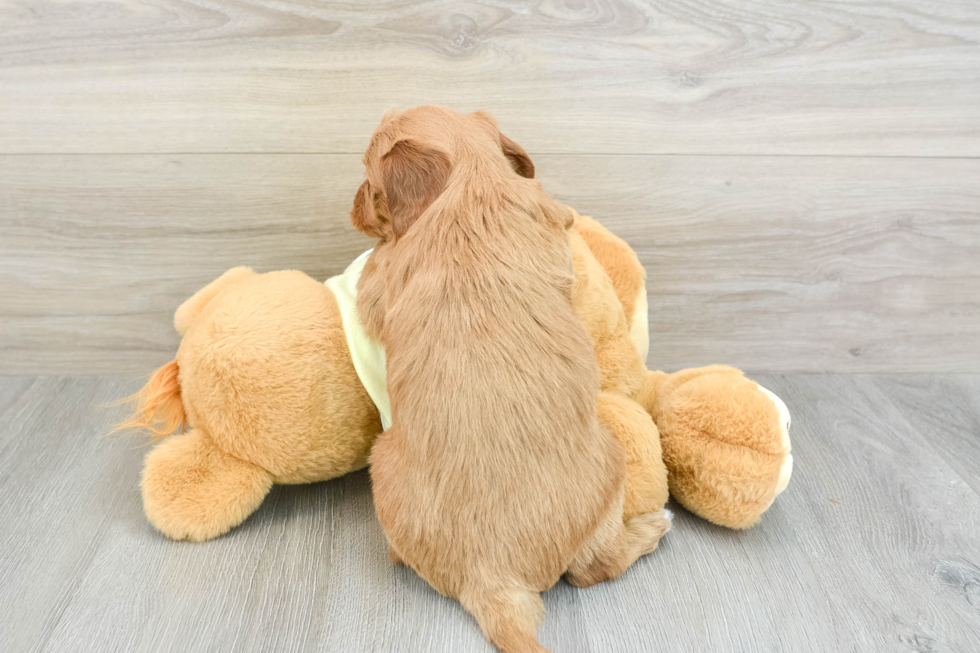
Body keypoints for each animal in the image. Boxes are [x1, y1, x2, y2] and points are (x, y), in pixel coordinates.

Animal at [350, 104, 668, 648]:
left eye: (369, 183)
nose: (350, 210)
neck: (472, 184)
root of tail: (492, 581)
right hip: (611, 467)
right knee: (596, 568)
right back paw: (653, 528)